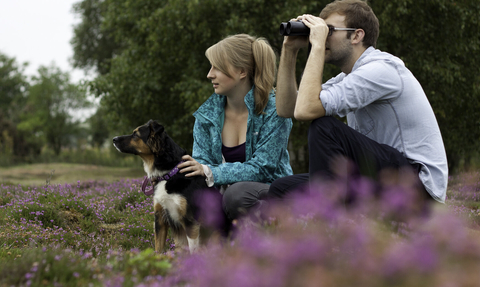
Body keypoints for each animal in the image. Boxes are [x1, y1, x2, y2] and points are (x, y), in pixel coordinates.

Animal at [114, 120, 231, 253]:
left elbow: (193, 250)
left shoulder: (190, 221)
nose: (113, 139)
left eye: (135, 134)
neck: (168, 173)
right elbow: (158, 248)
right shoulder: (160, 217)